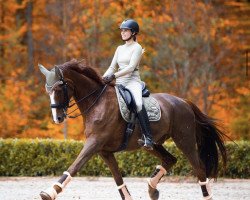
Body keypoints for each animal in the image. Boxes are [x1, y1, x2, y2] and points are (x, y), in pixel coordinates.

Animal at [38, 59, 227, 200]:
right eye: (48, 91)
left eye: (58, 88)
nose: (58, 118)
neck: (97, 102)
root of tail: (183, 101)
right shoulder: (104, 151)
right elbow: (118, 179)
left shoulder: (94, 143)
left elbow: (75, 166)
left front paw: (50, 192)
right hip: (154, 143)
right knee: (170, 159)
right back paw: (152, 189)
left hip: (184, 140)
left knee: (199, 168)